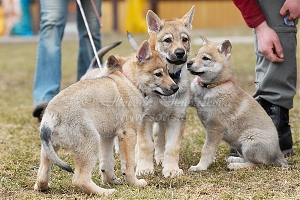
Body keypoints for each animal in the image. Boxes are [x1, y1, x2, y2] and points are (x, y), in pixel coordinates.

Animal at [33, 34, 178, 195]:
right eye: (158, 74)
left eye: (168, 72)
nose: (176, 87)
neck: (130, 82)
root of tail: (50, 115)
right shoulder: (128, 134)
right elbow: (129, 165)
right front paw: (134, 183)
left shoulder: (108, 137)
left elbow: (107, 163)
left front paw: (110, 180)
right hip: (90, 143)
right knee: (79, 179)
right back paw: (105, 192)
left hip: (50, 149)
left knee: (41, 176)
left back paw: (44, 187)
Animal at [135, 6, 196, 178]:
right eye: (167, 40)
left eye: (185, 39)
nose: (180, 53)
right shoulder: (144, 118)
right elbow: (145, 144)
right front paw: (144, 168)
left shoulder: (177, 117)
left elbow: (172, 146)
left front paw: (171, 169)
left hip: (162, 119)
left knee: (159, 138)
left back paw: (160, 158)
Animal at [188, 36, 288, 170]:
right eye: (196, 55)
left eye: (205, 58)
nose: (188, 63)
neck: (211, 86)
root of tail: (278, 154)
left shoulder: (215, 128)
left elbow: (207, 150)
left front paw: (200, 167)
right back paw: (235, 159)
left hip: (249, 139)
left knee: (259, 164)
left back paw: (236, 165)